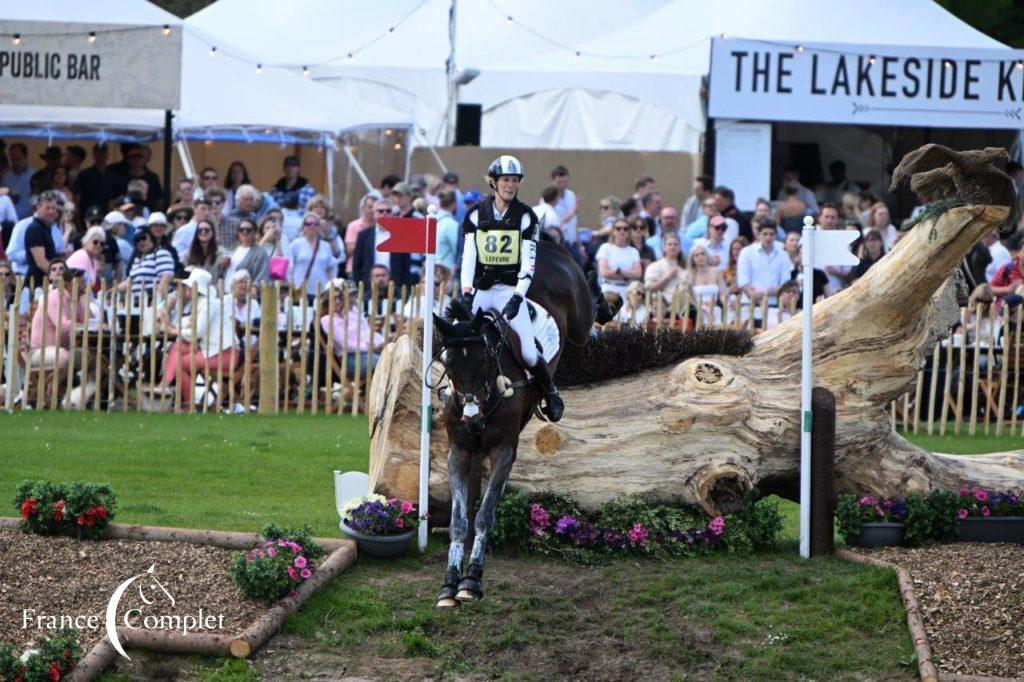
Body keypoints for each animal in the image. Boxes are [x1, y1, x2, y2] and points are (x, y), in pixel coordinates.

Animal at [430, 237, 606, 606]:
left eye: (484, 359)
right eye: (448, 363)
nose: (472, 418)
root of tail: (548, 246)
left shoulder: (503, 451)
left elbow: (484, 516)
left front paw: (471, 580)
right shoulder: (459, 453)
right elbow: (459, 520)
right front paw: (449, 583)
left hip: (579, 322)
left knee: (591, 309)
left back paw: (601, 286)